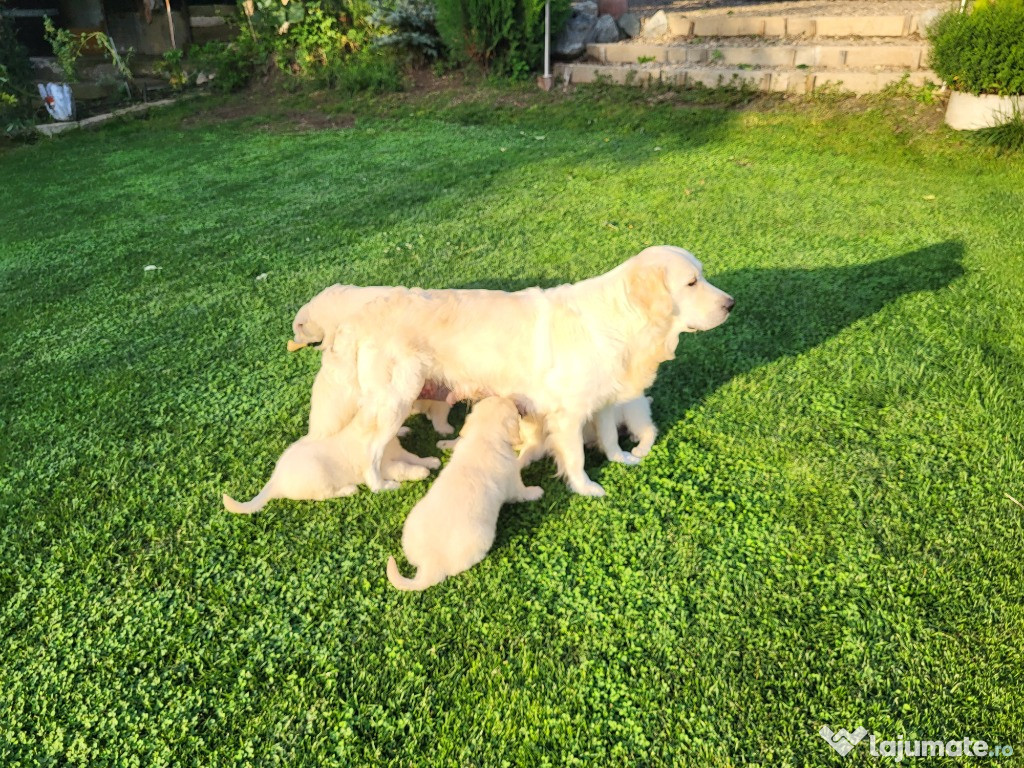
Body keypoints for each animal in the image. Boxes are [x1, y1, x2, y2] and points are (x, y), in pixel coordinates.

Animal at [222, 428, 438, 518]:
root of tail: (275, 480)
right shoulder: (384, 466)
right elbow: (403, 468)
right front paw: (421, 472)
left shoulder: (400, 452)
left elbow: (414, 457)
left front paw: (430, 461)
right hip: (318, 477)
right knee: (323, 495)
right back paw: (348, 489)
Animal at [385, 399, 544, 593]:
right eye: (515, 412)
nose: (512, 400)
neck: (482, 437)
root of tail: (430, 563)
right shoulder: (514, 483)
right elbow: (523, 492)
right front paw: (536, 491)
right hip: (483, 538)